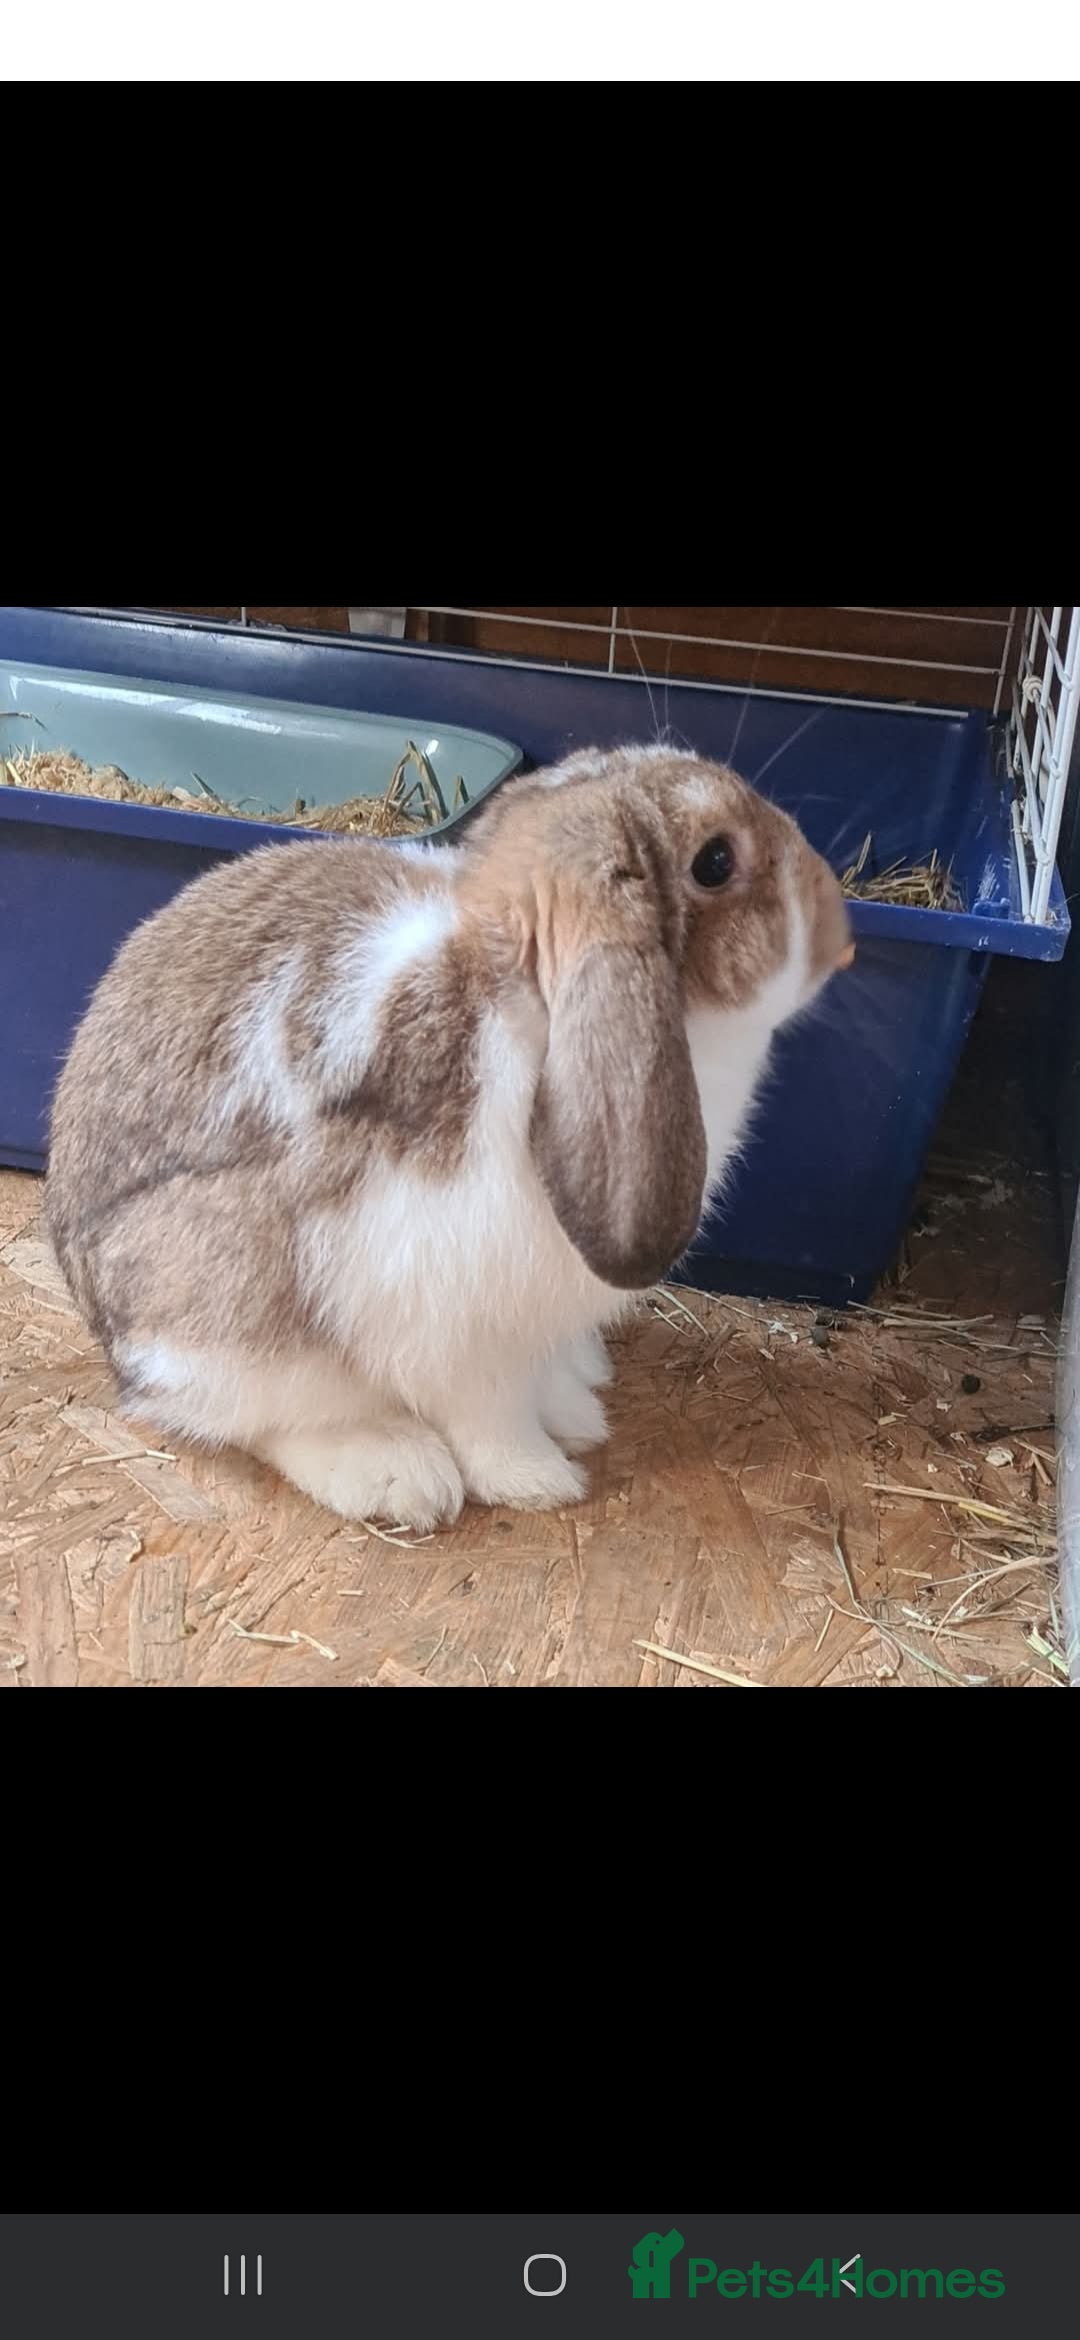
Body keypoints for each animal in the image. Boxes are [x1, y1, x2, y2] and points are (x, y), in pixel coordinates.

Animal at [45, 743, 854, 1530]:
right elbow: (488, 1414)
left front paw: (577, 1412)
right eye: (715, 861)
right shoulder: (448, 1317)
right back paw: (397, 1472)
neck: (528, 1004)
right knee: (245, 1414)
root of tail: (102, 1329)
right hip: (230, 1316)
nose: (841, 935)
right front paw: (539, 1478)